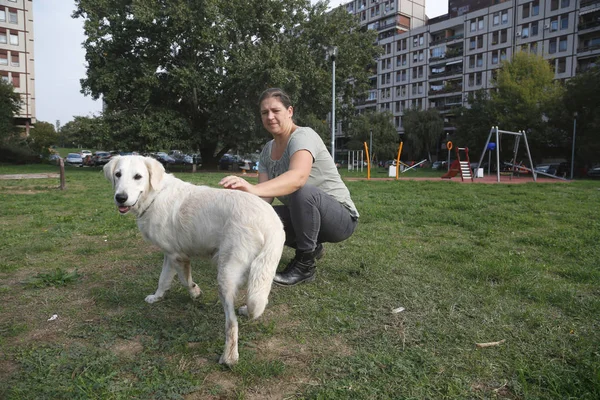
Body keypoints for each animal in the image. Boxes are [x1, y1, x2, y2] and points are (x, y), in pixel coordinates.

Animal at [103, 155, 286, 366]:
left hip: (225, 276)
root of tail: (270, 222)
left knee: (231, 324)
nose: (120, 197)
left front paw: (195, 292)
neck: (155, 195)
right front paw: (157, 297)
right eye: (118, 174)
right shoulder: (169, 255)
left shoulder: (178, 256)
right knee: (258, 301)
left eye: (138, 176)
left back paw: (229, 357)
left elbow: (185, 280)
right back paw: (246, 312)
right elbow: (163, 280)